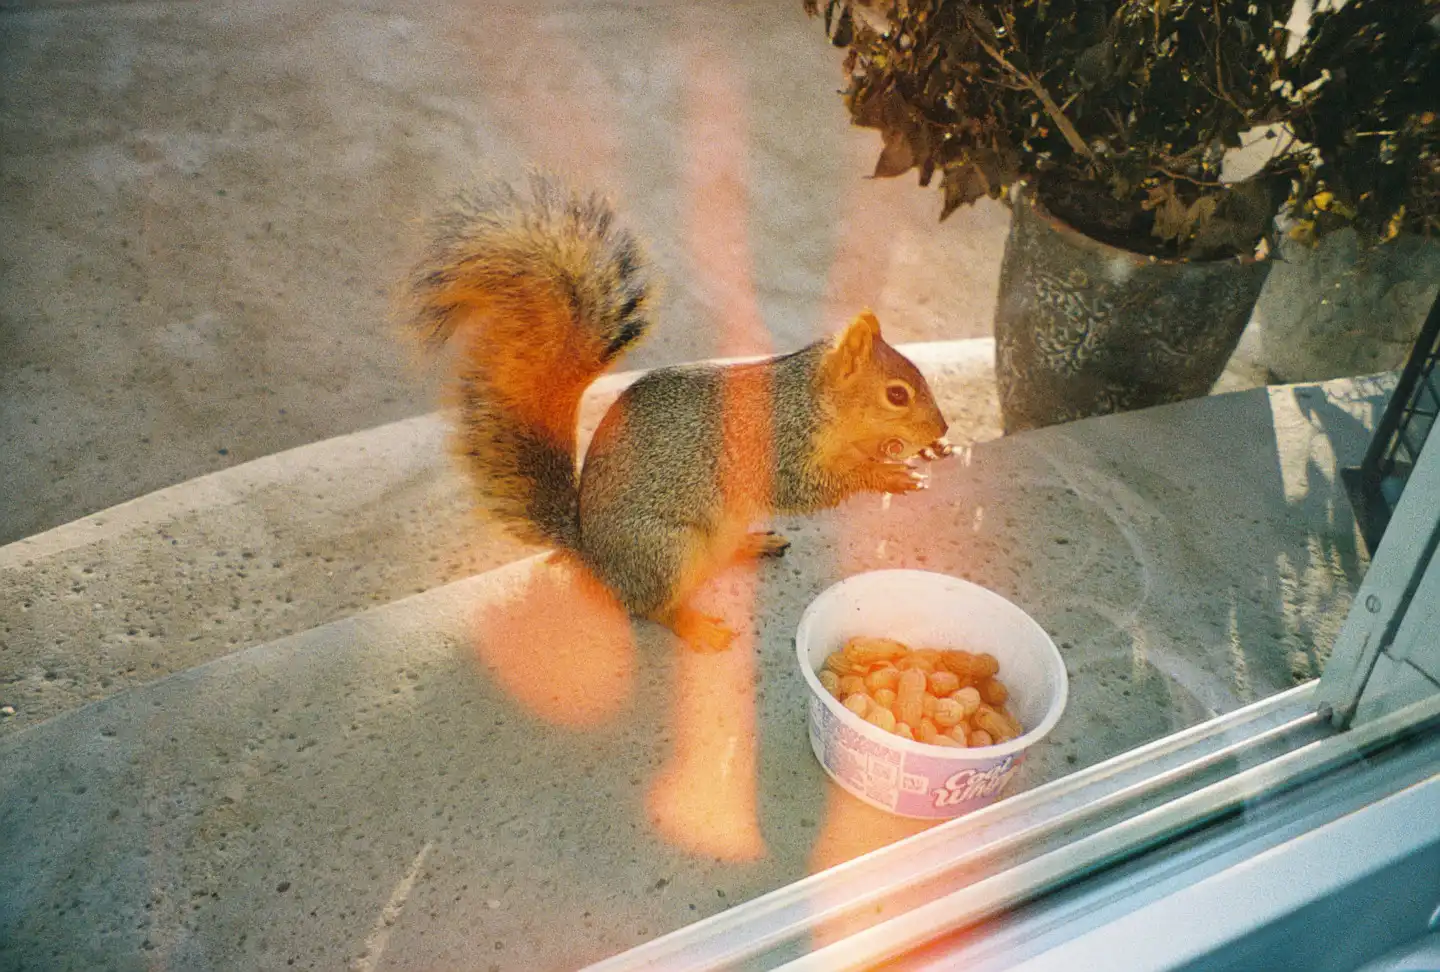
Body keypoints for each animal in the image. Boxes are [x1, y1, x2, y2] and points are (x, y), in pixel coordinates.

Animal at [403, 173, 953, 652]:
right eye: (897, 394)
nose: (941, 426)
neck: (813, 401)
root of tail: (595, 559)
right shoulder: (778, 445)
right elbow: (805, 489)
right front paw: (885, 475)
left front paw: (920, 453)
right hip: (665, 551)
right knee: (652, 607)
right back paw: (694, 626)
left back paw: (751, 547)